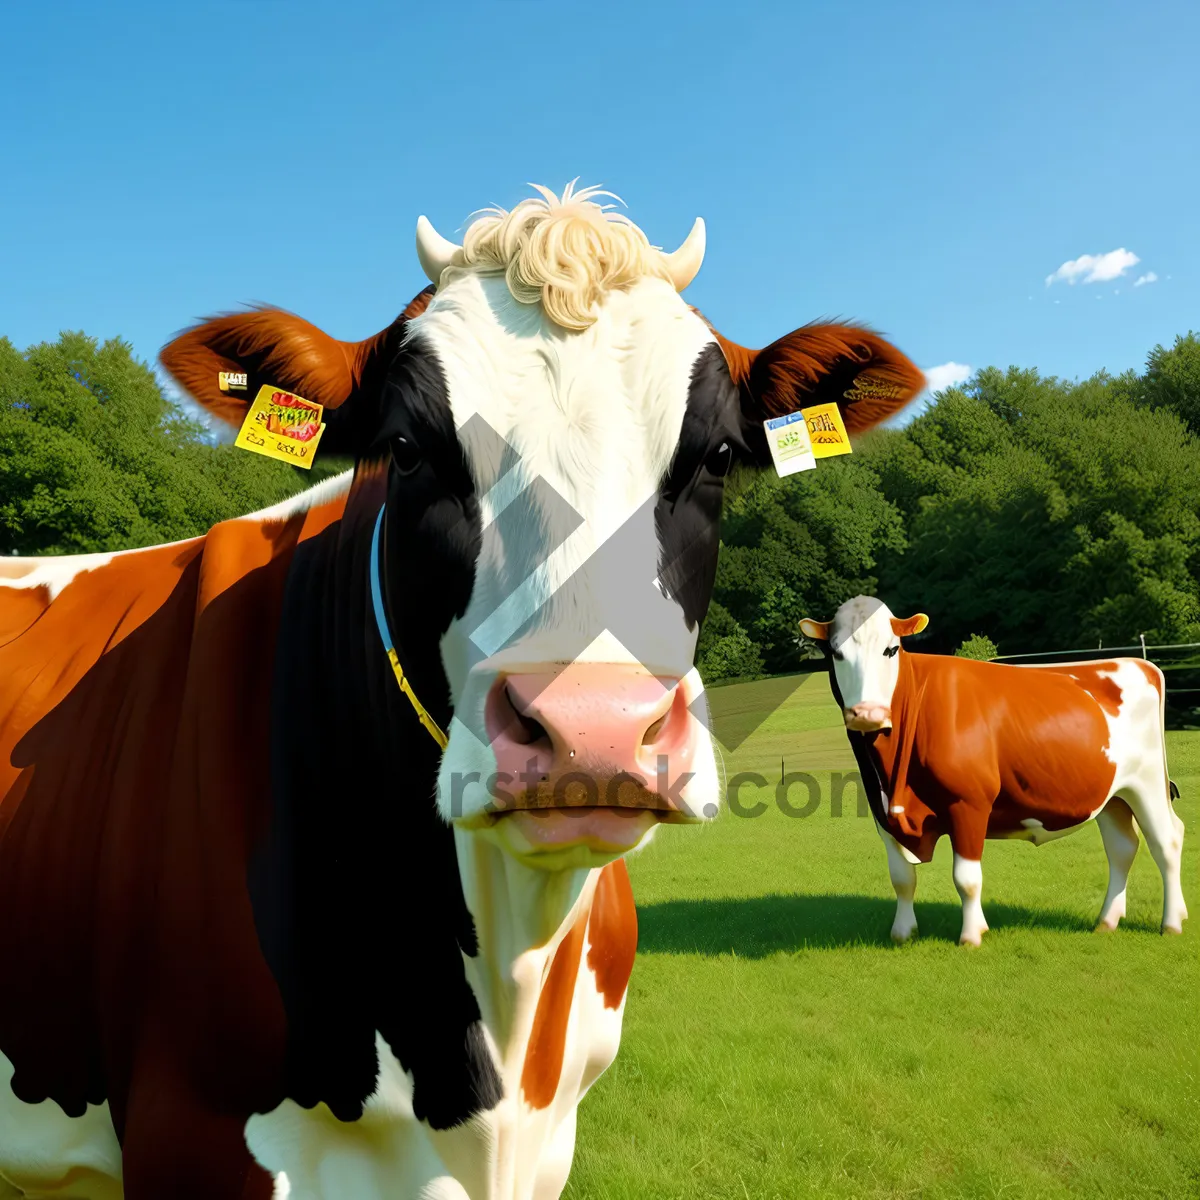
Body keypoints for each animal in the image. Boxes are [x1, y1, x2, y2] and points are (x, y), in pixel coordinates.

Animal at [801, 597, 1185, 945]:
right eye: (835, 652)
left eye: (891, 649)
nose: (867, 713)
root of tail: (1136, 662)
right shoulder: (882, 813)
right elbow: (902, 878)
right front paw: (902, 933)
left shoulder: (969, 803)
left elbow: (966, 878)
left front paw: (972, 935)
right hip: (1112, 794)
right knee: (1123, 847)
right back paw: (1107, 921)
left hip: (1147, 782)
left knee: (1166, 840)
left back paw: (1171, 923)